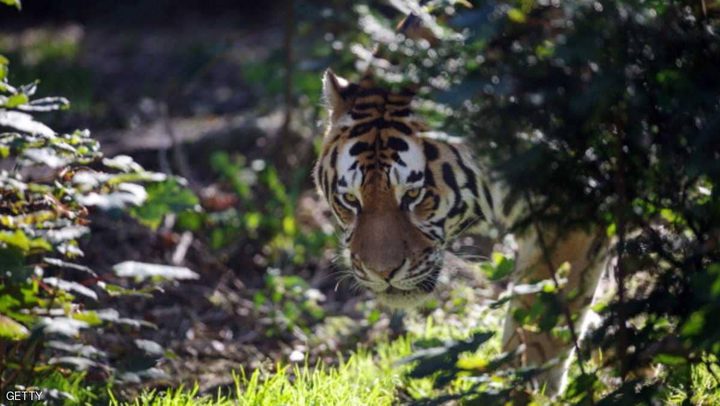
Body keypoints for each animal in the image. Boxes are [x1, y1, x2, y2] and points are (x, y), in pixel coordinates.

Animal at [312, 69, 612, 394]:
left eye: (413, 194)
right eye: (350, 199)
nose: (382, 273)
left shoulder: (570, 213)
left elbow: (539, 327)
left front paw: (523, 392)